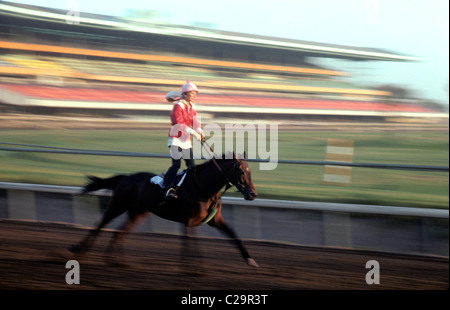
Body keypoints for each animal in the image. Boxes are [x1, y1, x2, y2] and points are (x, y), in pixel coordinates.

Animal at [68, 153, 258, 266]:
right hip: (118, 205)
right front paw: (192, 269)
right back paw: (79, 249)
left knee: (119, 232)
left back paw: (114, 259)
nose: (252, 194)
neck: (203, 187)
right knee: (101, 224)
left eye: (251, 172)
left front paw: (250, 259)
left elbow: (234, 235)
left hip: (138, 213)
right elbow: (191, 242)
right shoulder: (189, 221)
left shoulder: (215, 220)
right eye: (242, 172)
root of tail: (126, 178)